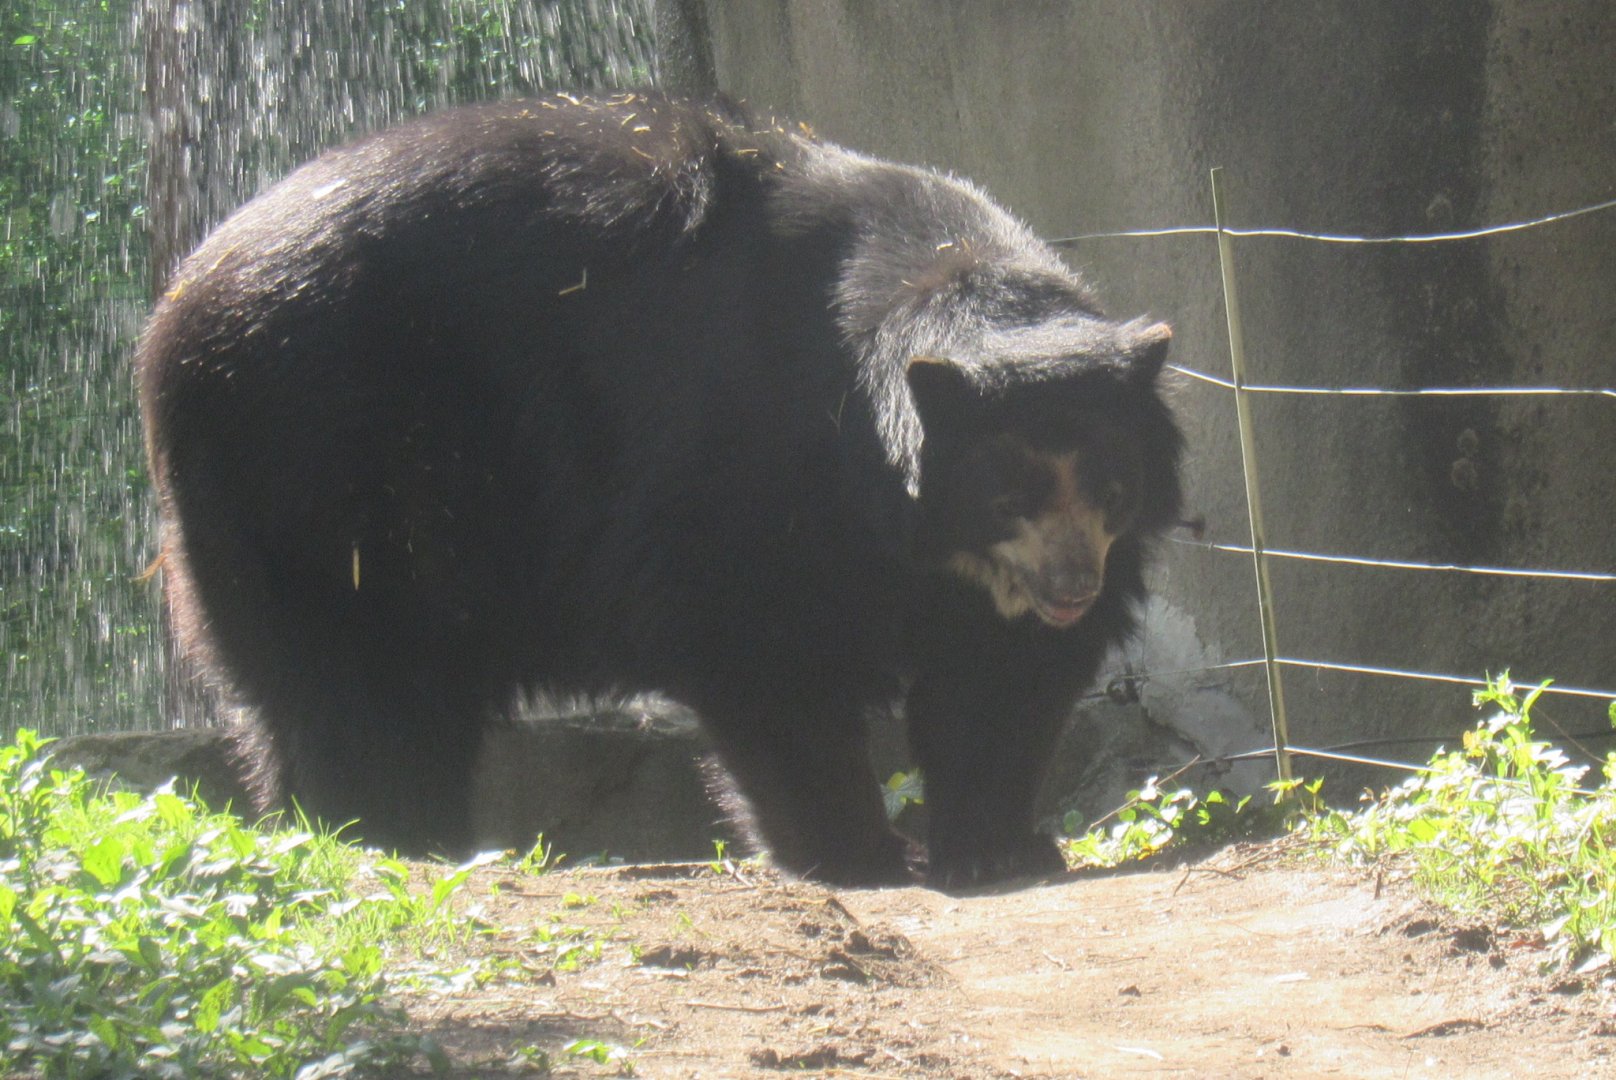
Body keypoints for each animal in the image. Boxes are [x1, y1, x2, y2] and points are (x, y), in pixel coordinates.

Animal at [136, 91, 1183, 889]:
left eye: (1113, 485)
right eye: (1005, 492)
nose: (1070, 588)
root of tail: (177, 301)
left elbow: (999, 680)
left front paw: (999, 847)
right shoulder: (749, 462)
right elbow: (757, 638)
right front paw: (859, 852)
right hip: (323, 468)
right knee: (360, 677)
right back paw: (389, 830)